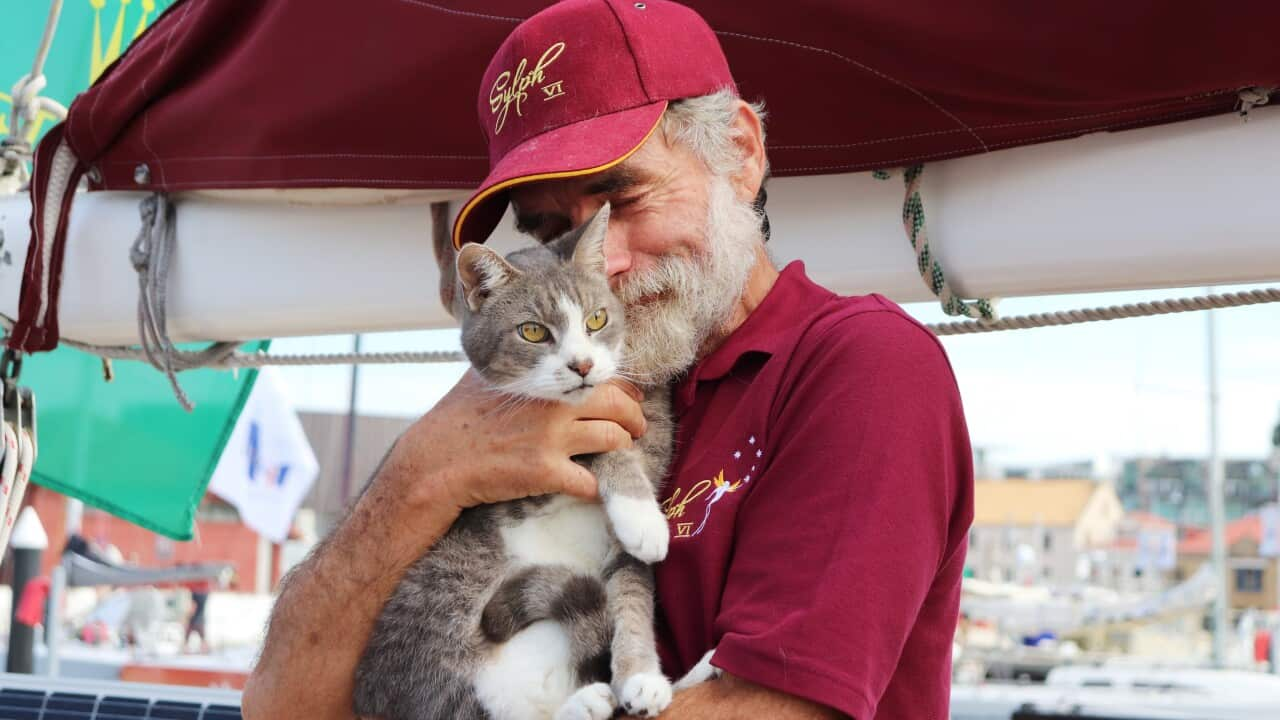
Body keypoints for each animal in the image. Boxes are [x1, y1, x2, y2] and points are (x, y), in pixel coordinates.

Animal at [350, 203, 670, 717]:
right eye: (533, 331)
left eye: (597, 319)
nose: (582, 365)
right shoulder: (522, 480)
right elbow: (599, 448)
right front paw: (641, 514)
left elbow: (631, 593)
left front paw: (641, 676)